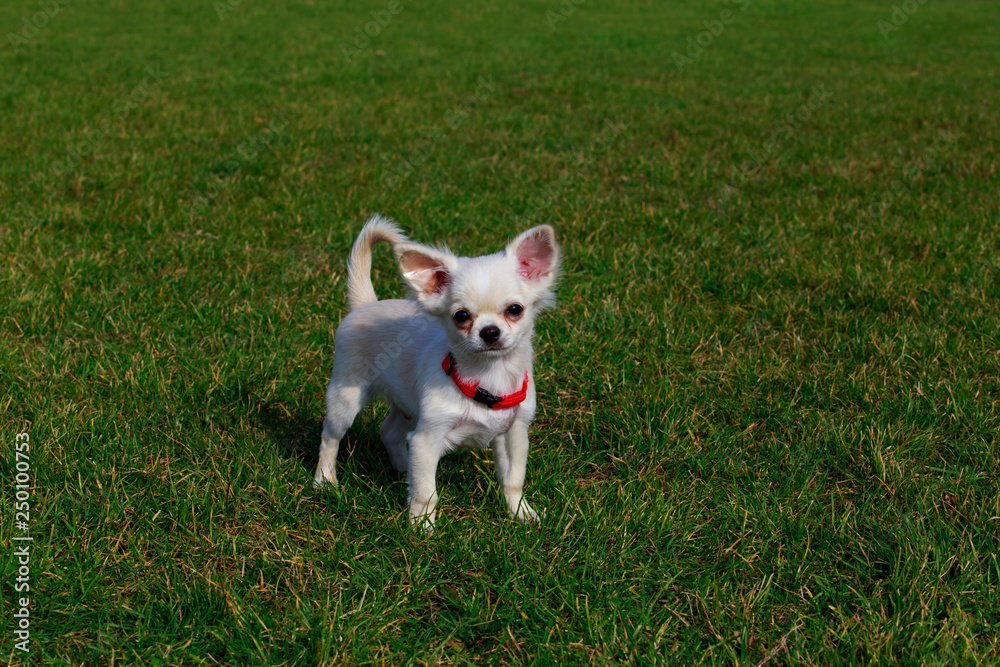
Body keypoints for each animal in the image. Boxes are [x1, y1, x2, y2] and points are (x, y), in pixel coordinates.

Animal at [314, 217, 560, 528]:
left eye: (515, 309)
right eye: (461, 316)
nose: (490, 332)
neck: (488, 375)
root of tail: (366, 303)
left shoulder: (514, 433)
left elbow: (513, 480)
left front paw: (521, 513)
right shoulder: (426, 439)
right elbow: (426, 491)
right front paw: (421, 525)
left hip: (408, 406)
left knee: (389, 431)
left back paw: (401, 471)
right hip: (345, 398)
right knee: (330, 437)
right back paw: (324, 480)